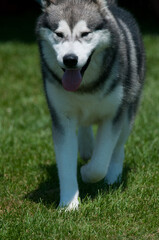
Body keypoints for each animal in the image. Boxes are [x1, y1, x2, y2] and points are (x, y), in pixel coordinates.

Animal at [36, 0, 145, 210]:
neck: (85, 88)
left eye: (85, 33)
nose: (70, 60)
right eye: (59, 34)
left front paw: (87, 173)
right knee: (85, 125)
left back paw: (113, 176)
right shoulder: (62, 118)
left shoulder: (113, 116)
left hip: (129, 108)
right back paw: (86, 147)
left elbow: (100, 163)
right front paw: (69, 204)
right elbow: (66, 163)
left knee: (118, 147)